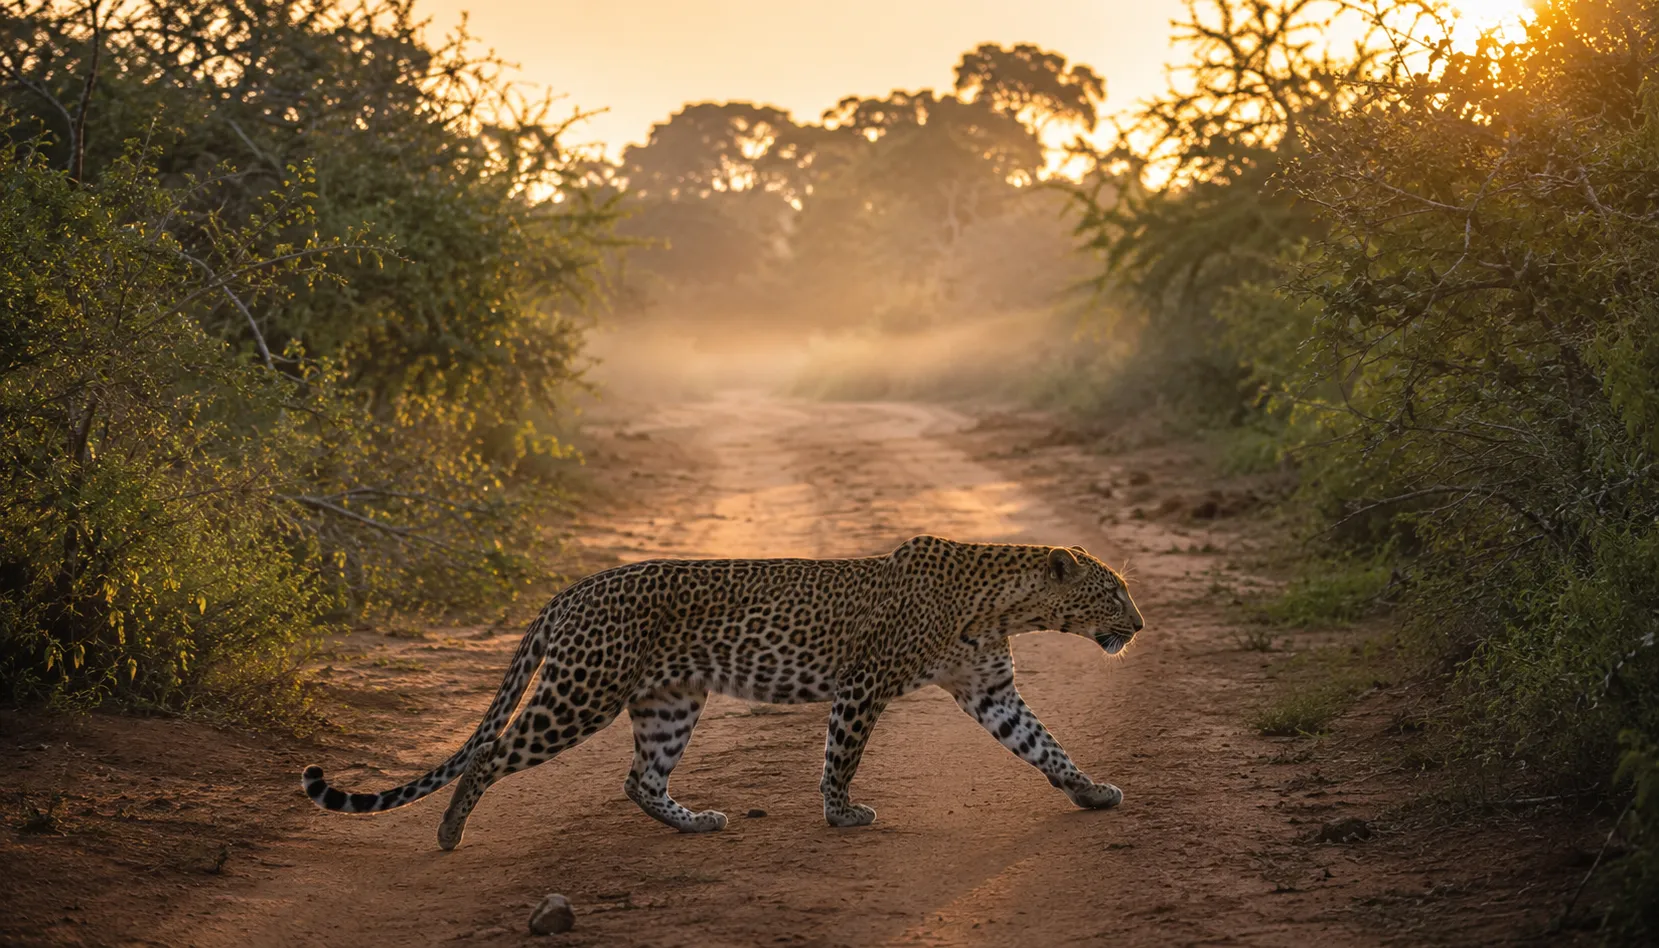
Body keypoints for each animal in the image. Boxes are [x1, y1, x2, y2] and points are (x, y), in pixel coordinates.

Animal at [301, 534, 1144, 851]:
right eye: (1113, 592)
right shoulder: (864, 682)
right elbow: (841, 755)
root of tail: (573, 589)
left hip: (671, 700)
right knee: (493, 752)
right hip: (582, 691)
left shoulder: (988, 690)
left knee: (639, 778)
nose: (1138, 625)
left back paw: (695, 822)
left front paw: (1091, 792)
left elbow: (1043, 744)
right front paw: (841, 814)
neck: (1002, 601)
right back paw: (449, 831)